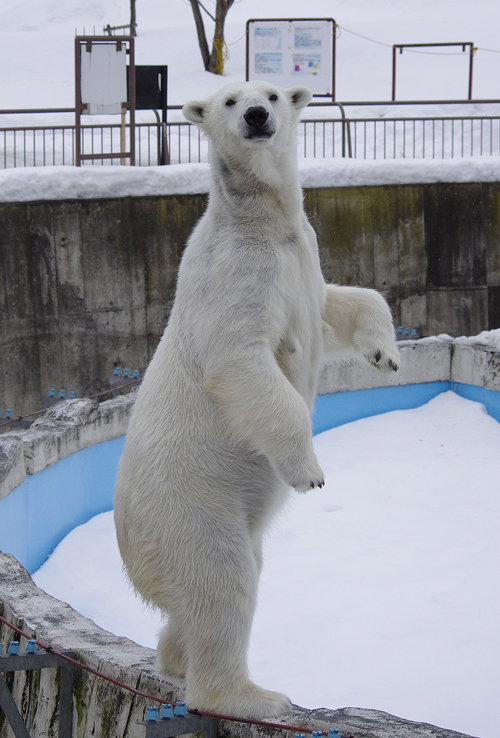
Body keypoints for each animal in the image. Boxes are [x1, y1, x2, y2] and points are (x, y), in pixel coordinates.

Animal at [113, 82, 398, 720]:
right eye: (226, 100)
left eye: (272, 92)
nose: (257, 115)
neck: (260, 219)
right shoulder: (236, 273)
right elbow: (239, 358)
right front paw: (309, 471)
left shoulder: (302, 256)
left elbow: (337, 304)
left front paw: (385, 354)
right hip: (188, 508)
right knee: (223, 580)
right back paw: (251, 697)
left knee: (221, 587)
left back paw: (174, 655)